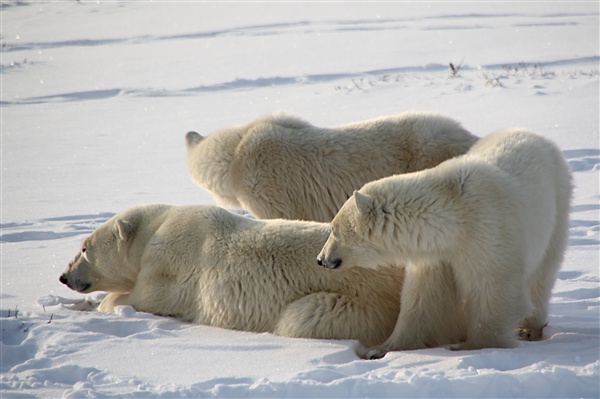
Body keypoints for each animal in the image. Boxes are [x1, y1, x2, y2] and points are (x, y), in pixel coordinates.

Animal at [59, 205, 404, 348]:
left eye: (85, 248)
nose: (64, 276)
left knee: (301, 317)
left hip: (359, 302)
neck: (152, 232)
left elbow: (139, 298)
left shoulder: (169, 265)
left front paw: (99, 304)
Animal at [316, 129, 576, 360]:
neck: (454, 216)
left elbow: (492, 288)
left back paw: (528, 328)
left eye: (333, 229)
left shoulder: (488, 233)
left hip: (555, 207)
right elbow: (423, 298)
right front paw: (382, 347)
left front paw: (472, 345)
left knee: (541, 276)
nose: (321, 259)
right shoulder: (436, 255)